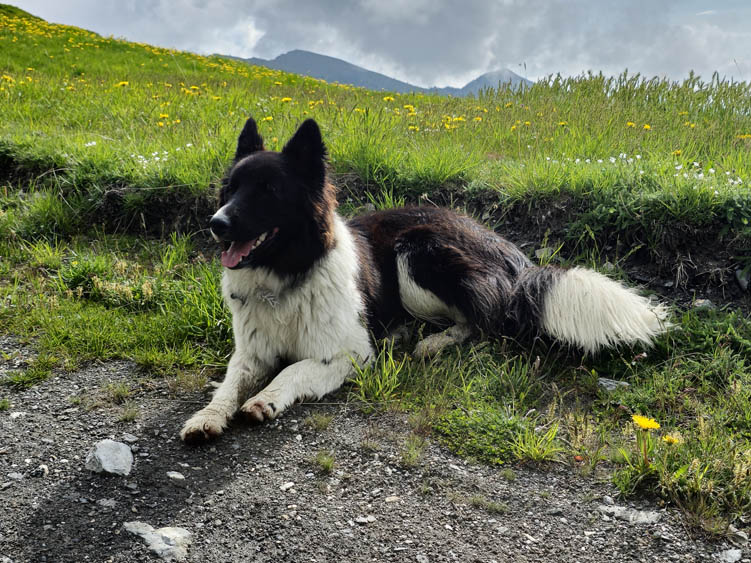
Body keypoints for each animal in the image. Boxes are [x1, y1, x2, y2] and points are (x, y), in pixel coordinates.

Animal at [181, 118, 668, 446]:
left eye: (269, 191)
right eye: (231, 188)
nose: (216, 224)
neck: (286, 276)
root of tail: (513, 256)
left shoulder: (350, 353)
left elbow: (294, 368)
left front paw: (266, 398)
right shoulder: (250, 353)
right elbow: (229, 382)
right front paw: (207, 416)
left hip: (415, 255)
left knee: (481, 321)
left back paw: (430, 342)